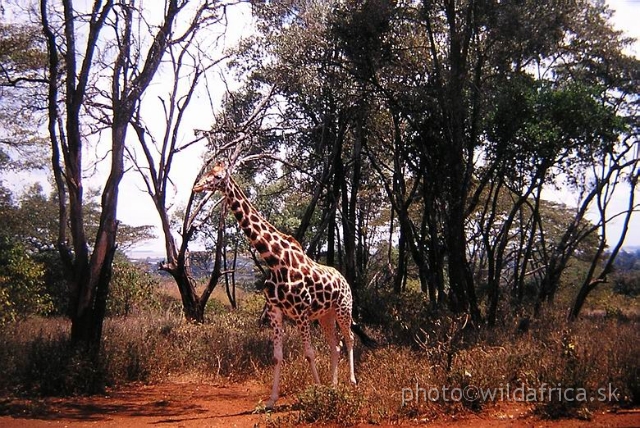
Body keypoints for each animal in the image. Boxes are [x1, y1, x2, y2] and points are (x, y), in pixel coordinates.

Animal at [195, 162, 376, 410]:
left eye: (218, 176)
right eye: (209, 172)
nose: (196, 187)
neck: (274, 259)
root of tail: (344, 279)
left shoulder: (301, 311)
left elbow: (309, 353)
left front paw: (317, 392)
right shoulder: (275, 311)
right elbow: (277, 356)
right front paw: (271, 400)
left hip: (343, 309)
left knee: (349, 339)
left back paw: (351, 381)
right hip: (325, 315)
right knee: (335, 344)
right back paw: (333, 385)